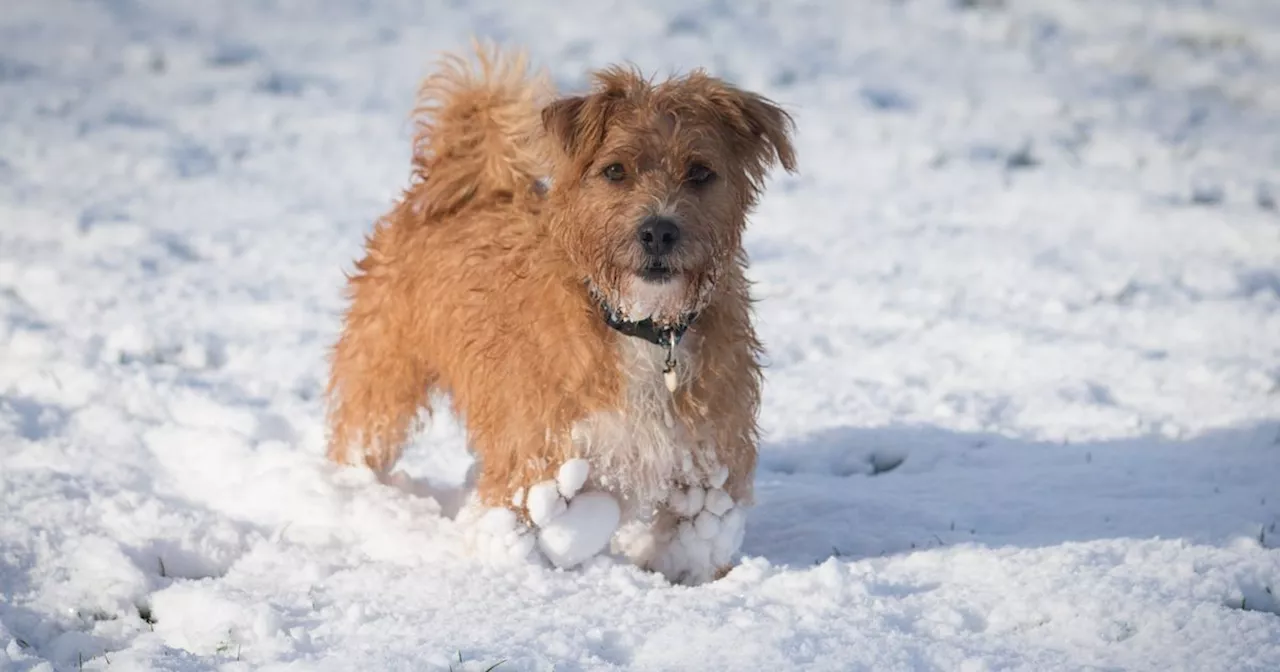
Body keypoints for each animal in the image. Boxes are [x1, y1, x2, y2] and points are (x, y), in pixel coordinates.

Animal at [325, 45, 793, 581]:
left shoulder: (706, 463)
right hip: (383, 369)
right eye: (615, 170)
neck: (643, 328)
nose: (659, 230)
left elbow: (693, 543)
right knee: (360, 432)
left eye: (699, 172)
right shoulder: (537, 458)